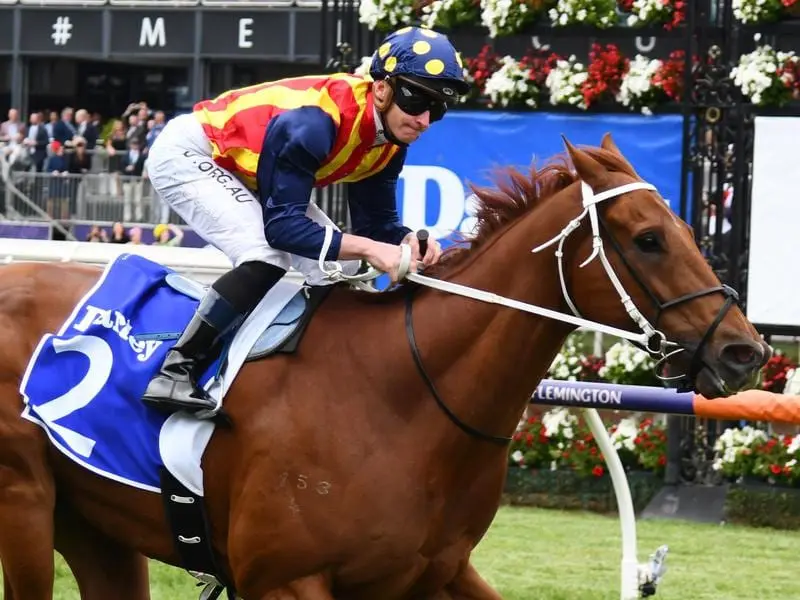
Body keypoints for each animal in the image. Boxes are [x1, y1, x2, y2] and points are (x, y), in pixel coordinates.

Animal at [0, 136, 768, 600]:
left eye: (688, 227)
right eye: (649, 239)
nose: (746, 352)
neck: (405, 398)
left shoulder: (436, 574)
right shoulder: (286, 580)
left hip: (95, 527)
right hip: (26, 504)